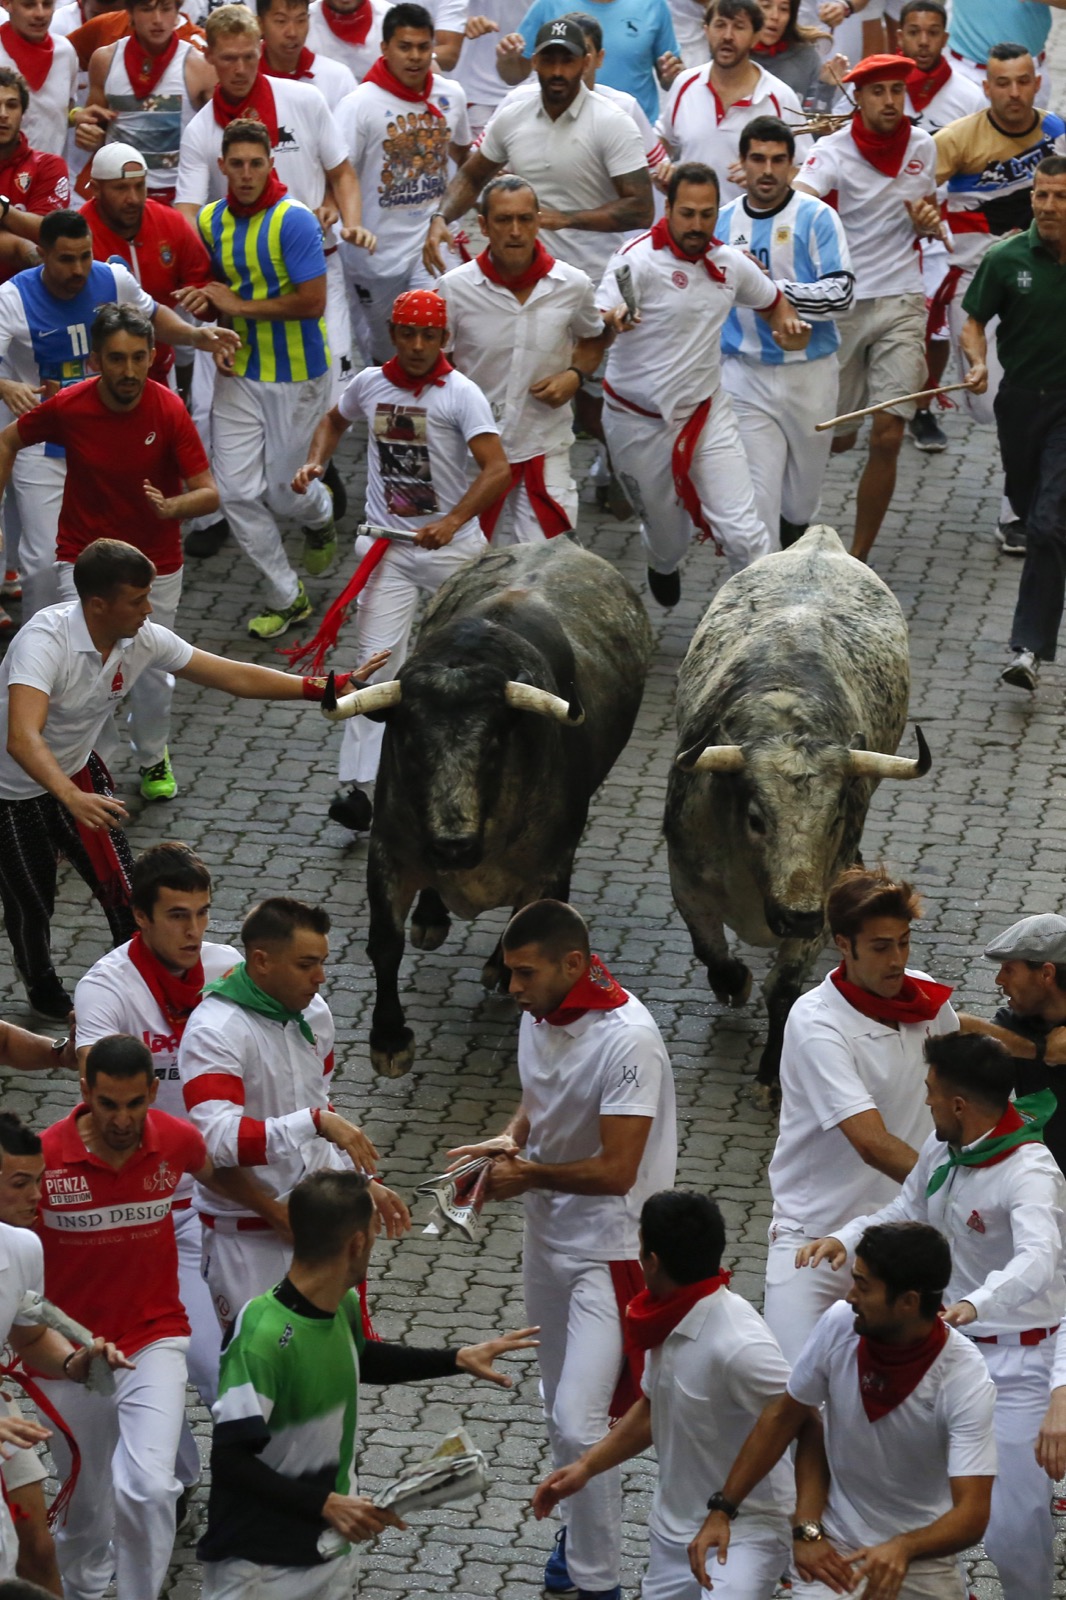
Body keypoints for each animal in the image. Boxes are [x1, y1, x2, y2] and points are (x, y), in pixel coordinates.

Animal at [659, 524, 928, 1100]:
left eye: (835, 819)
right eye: (756, 818)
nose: (798, 914)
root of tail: (820, 539)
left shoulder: (824, 904)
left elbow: (784, 988)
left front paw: (772, 1073)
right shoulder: (686, 880)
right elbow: (710, 951)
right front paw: (733, 983)